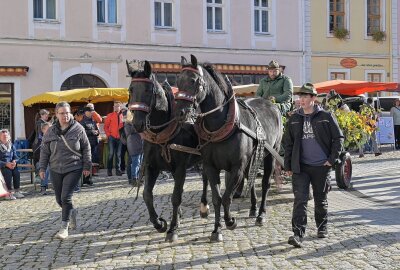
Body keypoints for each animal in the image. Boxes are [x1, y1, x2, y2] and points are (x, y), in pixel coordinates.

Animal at [127, 60, 209, 242]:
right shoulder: (151, 167)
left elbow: (176, 196)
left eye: (148, 90)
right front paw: (159, 223)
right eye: (131, 89)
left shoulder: (180, 168)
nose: (137, 124)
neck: (162, 131)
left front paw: (172, 228)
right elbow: (147, 195)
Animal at [174, 54, 282, 240]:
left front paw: (230, 221)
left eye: (194, 80)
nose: (179, 112)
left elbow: (227, 197)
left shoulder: (236, 167)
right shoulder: (211, 167)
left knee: (265, 183)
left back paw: (261, 214)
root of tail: (272, 105)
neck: (220, 125)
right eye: (178, 81)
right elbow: (217, 198)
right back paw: (253, 209)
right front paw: (216, 229)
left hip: (270, 154)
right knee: (250, 180)